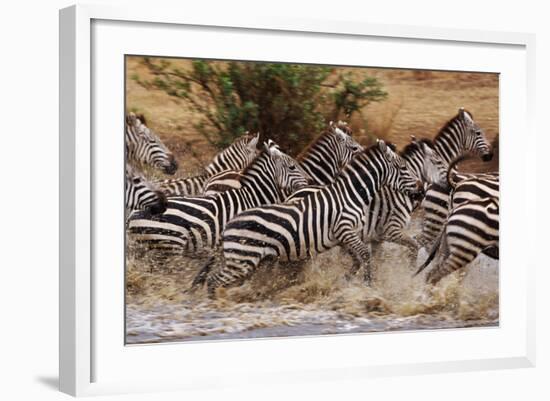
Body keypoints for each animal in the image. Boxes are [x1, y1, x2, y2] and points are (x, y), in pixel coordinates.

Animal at [196, 139, 424, 296]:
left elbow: (357, 259)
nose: (421, 189)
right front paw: (369, 285)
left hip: (242, 259)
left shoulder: (344, 237)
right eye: (403, 167)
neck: (351, 194)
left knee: (215, 278)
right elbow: (365, 255)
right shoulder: (346, 229)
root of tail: (228, 225)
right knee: (214, 280)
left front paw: (347, 279)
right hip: (243, 259)